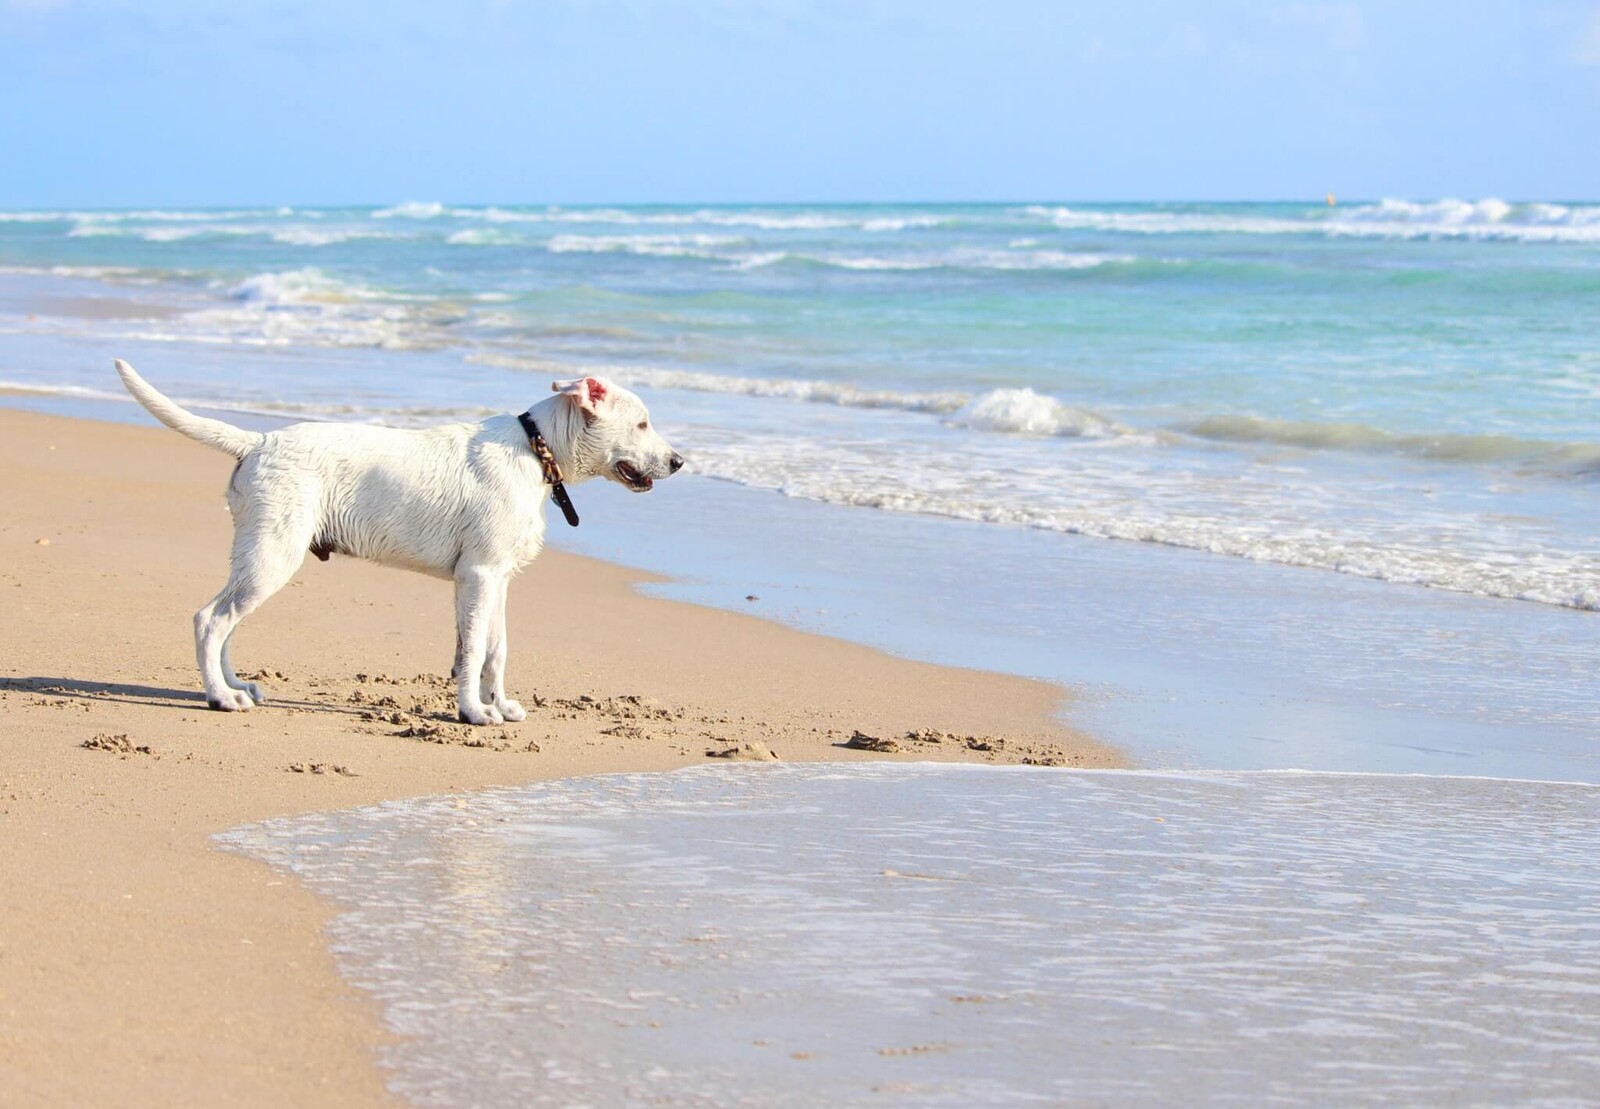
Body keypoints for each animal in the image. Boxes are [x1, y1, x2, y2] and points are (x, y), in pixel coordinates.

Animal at [114, 358, 681, 723]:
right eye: (642, 423)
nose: (678, 462)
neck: (536, 449)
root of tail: (260, 440)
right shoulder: (477, 576)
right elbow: (472, 650)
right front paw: (473, 712)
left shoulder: (495, 579)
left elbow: (495, 649)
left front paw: (500, 705)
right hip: (273, 554)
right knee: (210, 619)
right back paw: (219, 698)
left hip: (257, 554)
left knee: (225, 622)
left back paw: (233, 686)